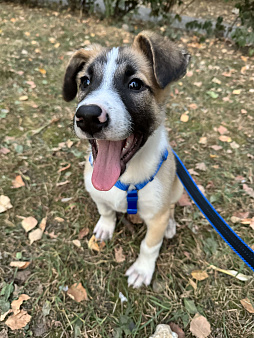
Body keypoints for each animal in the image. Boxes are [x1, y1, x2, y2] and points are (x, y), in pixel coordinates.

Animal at [63, 31, 190, 288]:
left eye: (135, 84)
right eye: (85, 82)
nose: (88, 117)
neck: (127, 178)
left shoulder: (156, 217)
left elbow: (150, 245)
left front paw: (142, 270)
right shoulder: (97, 192)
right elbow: (105, 210)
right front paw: (105, 226)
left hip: (178, 186)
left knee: (171, 207)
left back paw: (171, 224)